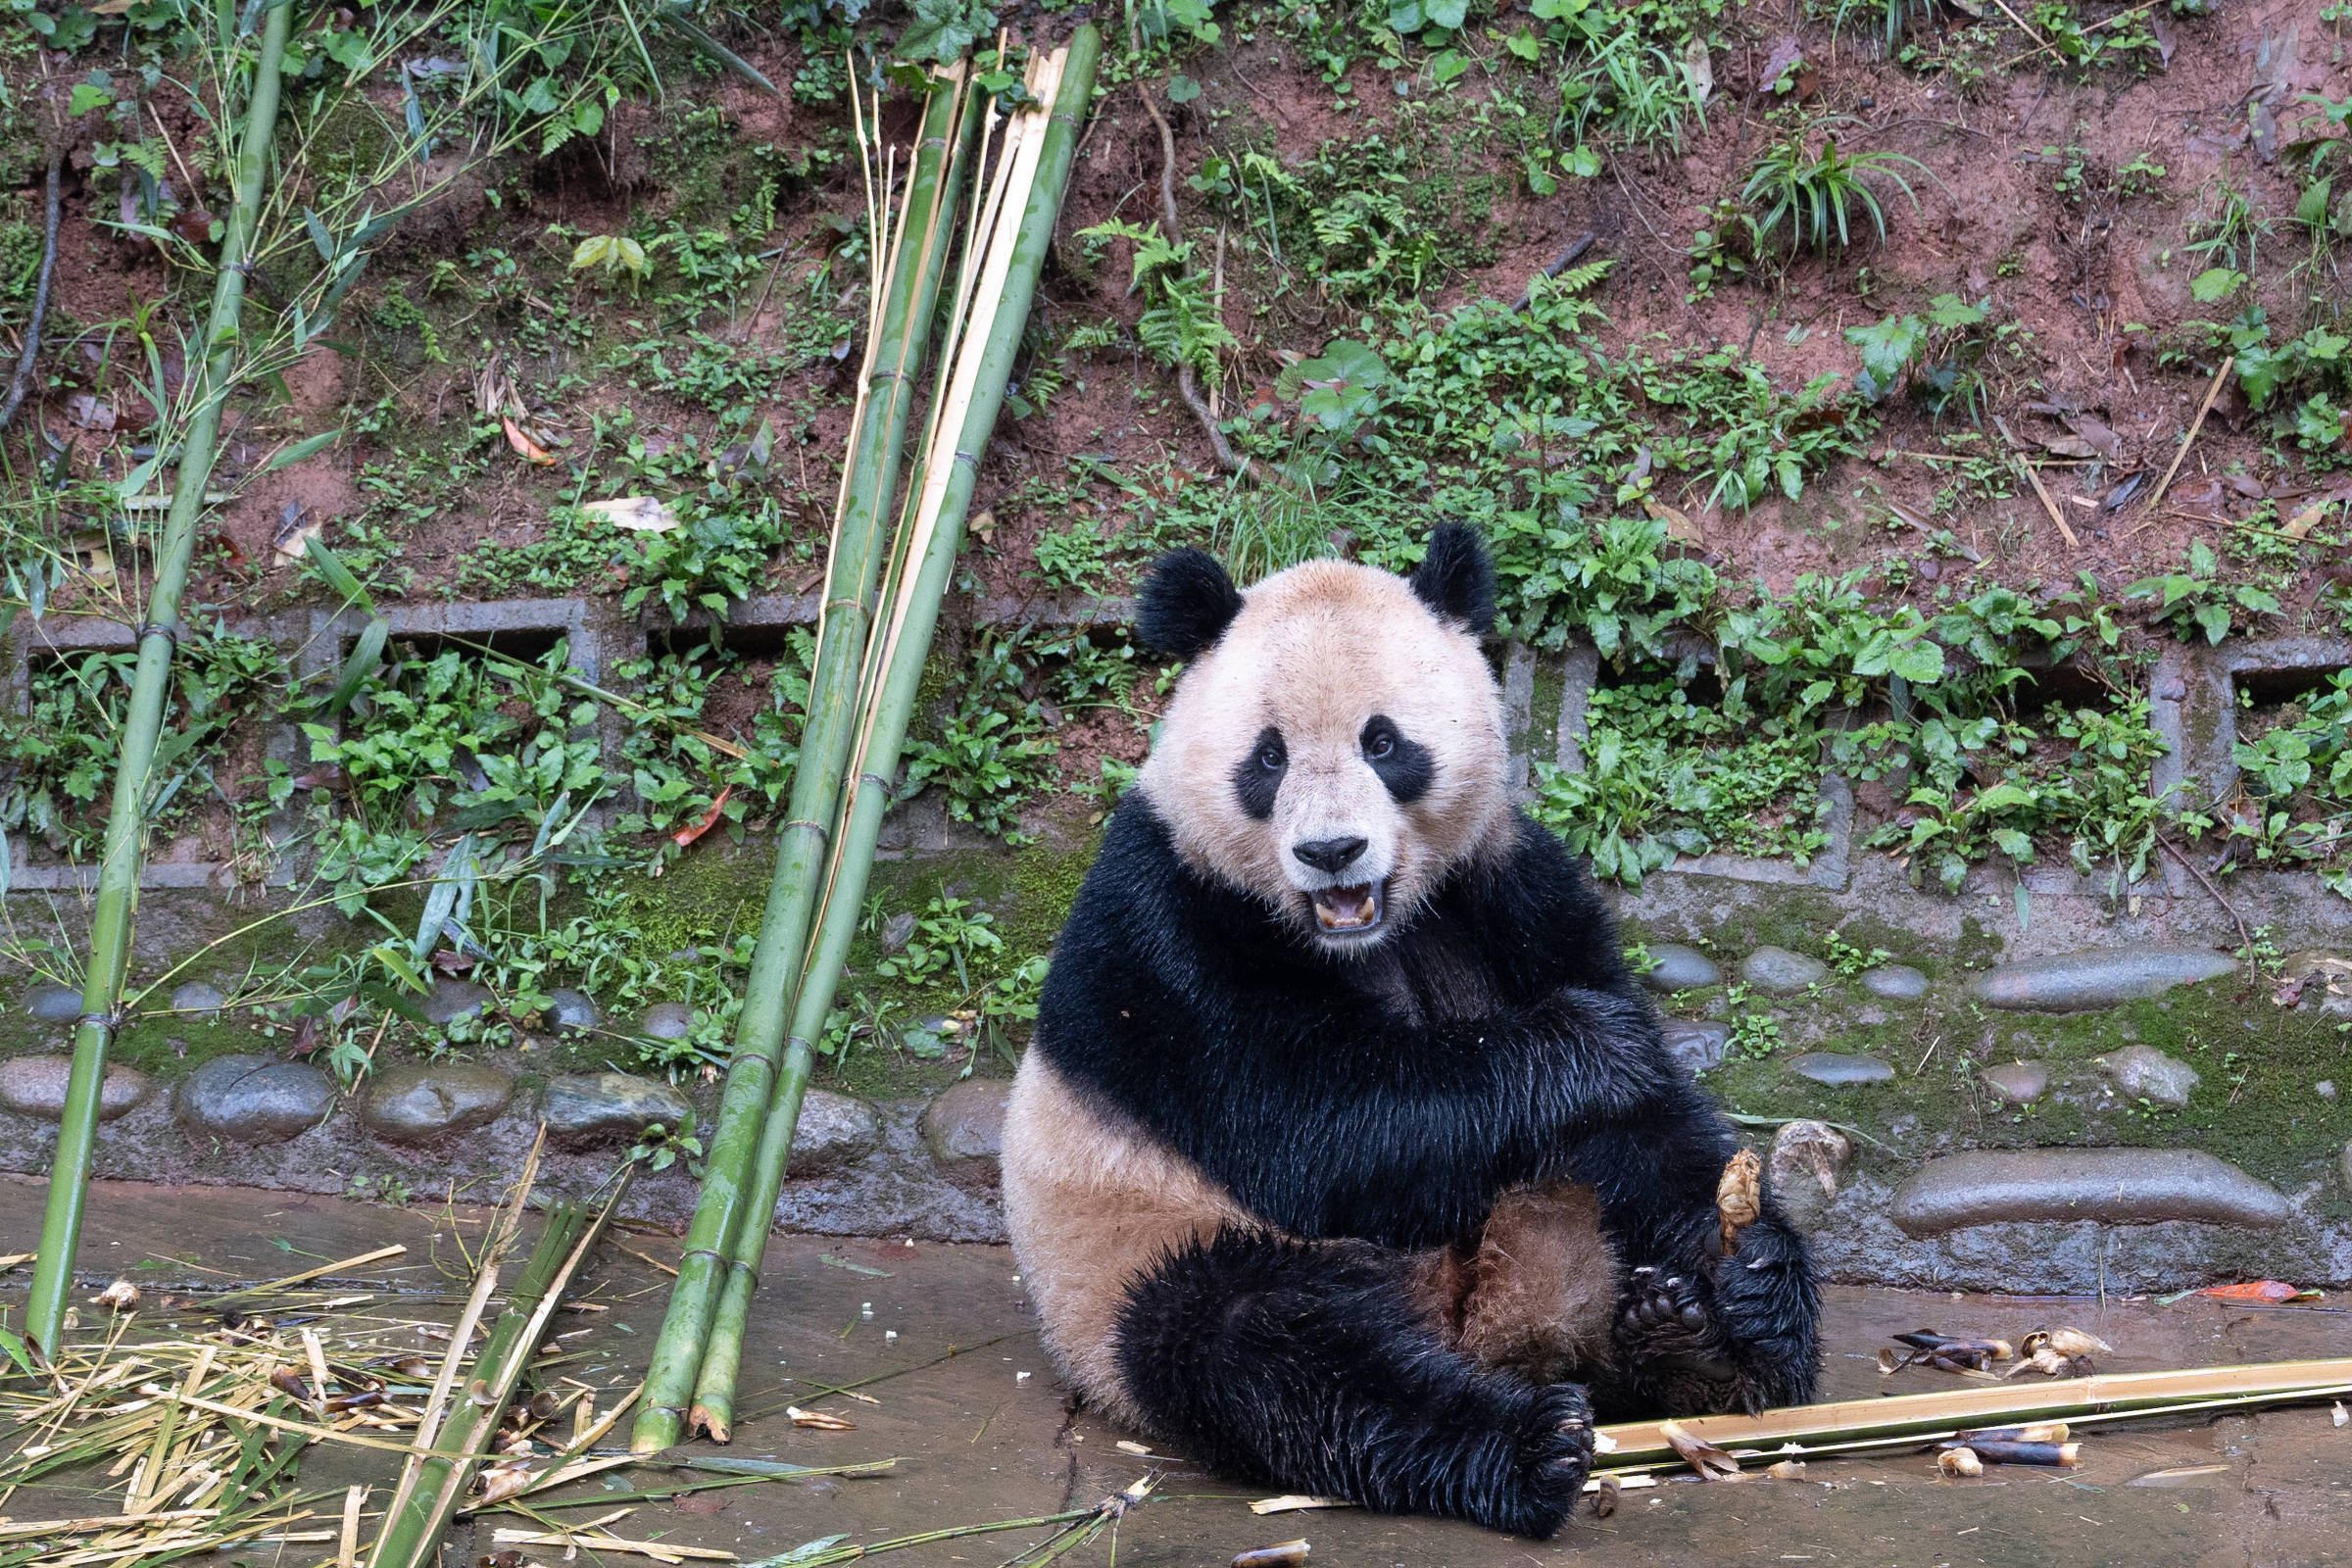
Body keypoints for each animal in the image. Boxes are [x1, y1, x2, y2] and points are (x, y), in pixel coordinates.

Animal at [992, 533, 1815, 1542]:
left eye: (1383, 743)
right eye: (1268, 758)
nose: (1331, 851)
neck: (1367, 932)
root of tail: (1476, 1329)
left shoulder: (1508, 882)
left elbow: (1649, 1130)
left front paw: (1757, 1283)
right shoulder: (1166, 925)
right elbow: (1314, 1127)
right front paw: (1592, 1046)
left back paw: (1690, 1347)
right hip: (1137, 1257)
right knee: (1272, 1354)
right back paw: (1527, 1446)